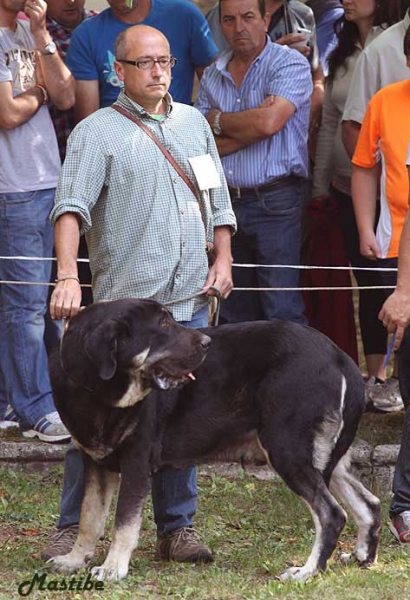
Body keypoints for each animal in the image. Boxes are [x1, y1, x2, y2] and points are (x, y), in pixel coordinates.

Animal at [48, 298, 382, 580]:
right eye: (164, 325)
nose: (206, 342)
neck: (99, 394)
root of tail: (341, 358)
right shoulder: (96, 462)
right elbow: (89, 518)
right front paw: (74, 559)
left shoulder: (136, 463)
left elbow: (123, 524)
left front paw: (113, 568)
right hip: (322, 457)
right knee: (369, 504)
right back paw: (361, 556)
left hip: (287, 449)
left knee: (332, 514)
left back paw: (307, 571)